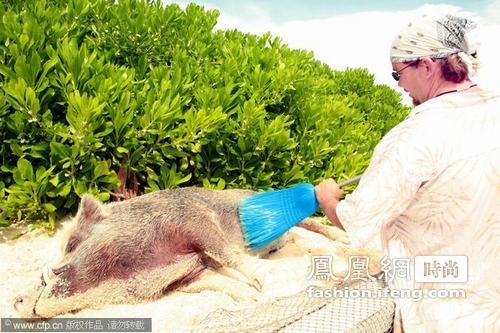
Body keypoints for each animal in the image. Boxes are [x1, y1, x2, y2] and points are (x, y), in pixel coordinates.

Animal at [12, 187, 348, 316]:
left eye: (71, 244)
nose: (16, 299)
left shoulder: (194, 221)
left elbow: (230, 256)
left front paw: (268, 289)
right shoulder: (188, 275)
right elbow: (219, 281)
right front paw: (250, 299)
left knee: (315, 225)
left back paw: (343, 243)